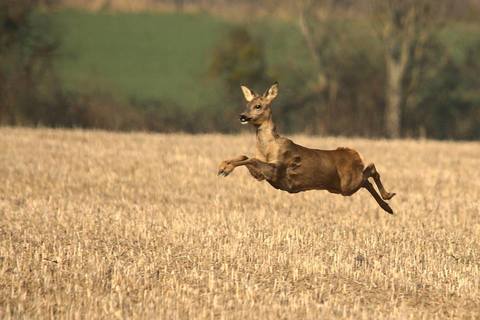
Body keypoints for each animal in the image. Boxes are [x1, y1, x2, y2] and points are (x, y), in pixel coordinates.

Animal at [219, 81, 396, 214]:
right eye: (247, 104)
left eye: (258, 106)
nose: (242, 116)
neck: (268, 147)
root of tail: (353, 155)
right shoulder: (262, 175)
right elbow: (246, 157)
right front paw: (223, 165)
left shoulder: (278, 169)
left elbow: (251, 160)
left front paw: (225, 169)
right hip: (340, 187)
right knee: (367, 180)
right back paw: (387, 206)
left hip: (348, 184)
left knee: (370, 170)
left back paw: (388, 196)